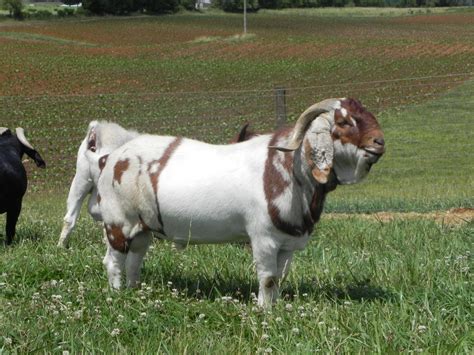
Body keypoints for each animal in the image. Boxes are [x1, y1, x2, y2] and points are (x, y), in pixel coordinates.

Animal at [96, 98, 386, 308]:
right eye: (344, 121)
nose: (379, 142)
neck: (287, 168)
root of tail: (112, 157)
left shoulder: (287, 244)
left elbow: (280, 278)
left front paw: (275, 308)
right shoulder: (263, 238)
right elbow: (268, 279)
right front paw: (264, 311)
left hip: (142, 228)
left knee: (135, 259)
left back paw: (134, 291)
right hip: (118, 223)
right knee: (113, 261)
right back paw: (117, 295)